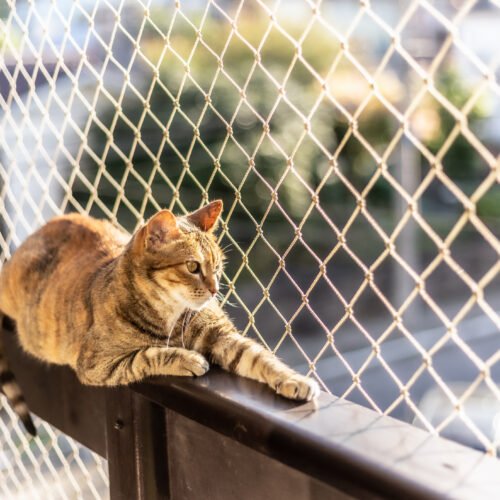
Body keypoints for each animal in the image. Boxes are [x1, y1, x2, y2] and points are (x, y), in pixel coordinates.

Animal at [0, 200, 319, 435]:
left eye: (218, 267)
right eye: (192, 266)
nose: (215, 289)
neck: (172, 314)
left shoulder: (222, 335)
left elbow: (259, 357)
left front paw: (293, 380)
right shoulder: (96, 363)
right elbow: (146, 355)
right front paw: (188, 359)